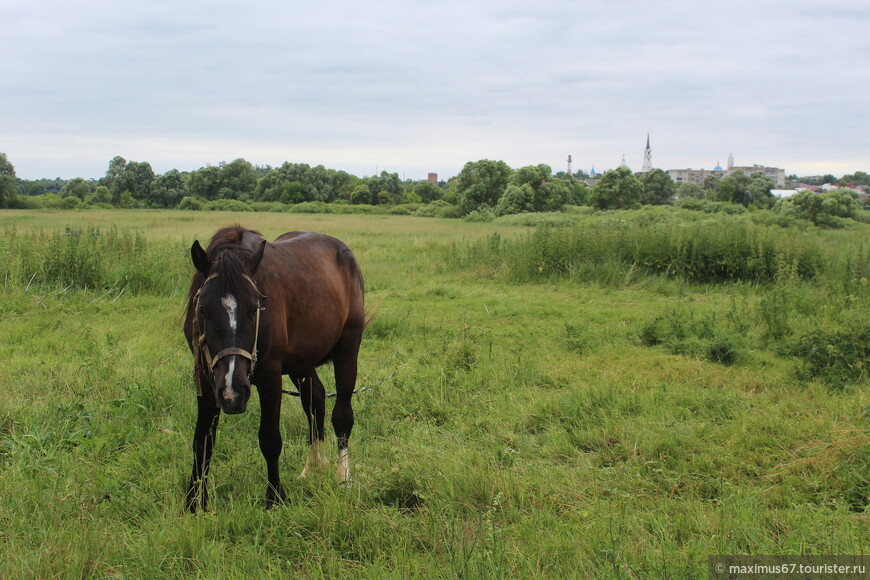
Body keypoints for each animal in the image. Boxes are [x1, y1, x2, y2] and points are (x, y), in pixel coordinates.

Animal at [183, 224, 364, 510]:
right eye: (203, 310)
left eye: (254, 307)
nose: (233, 393)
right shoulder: (207, 379)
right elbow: (202, 442)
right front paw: (194, 502)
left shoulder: (270, 377)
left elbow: (269, 439)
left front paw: (274, 498)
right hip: (301, 363)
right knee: (315, 400)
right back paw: (312, 467)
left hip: (348, 349)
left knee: (342, 414)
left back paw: (343, 476)